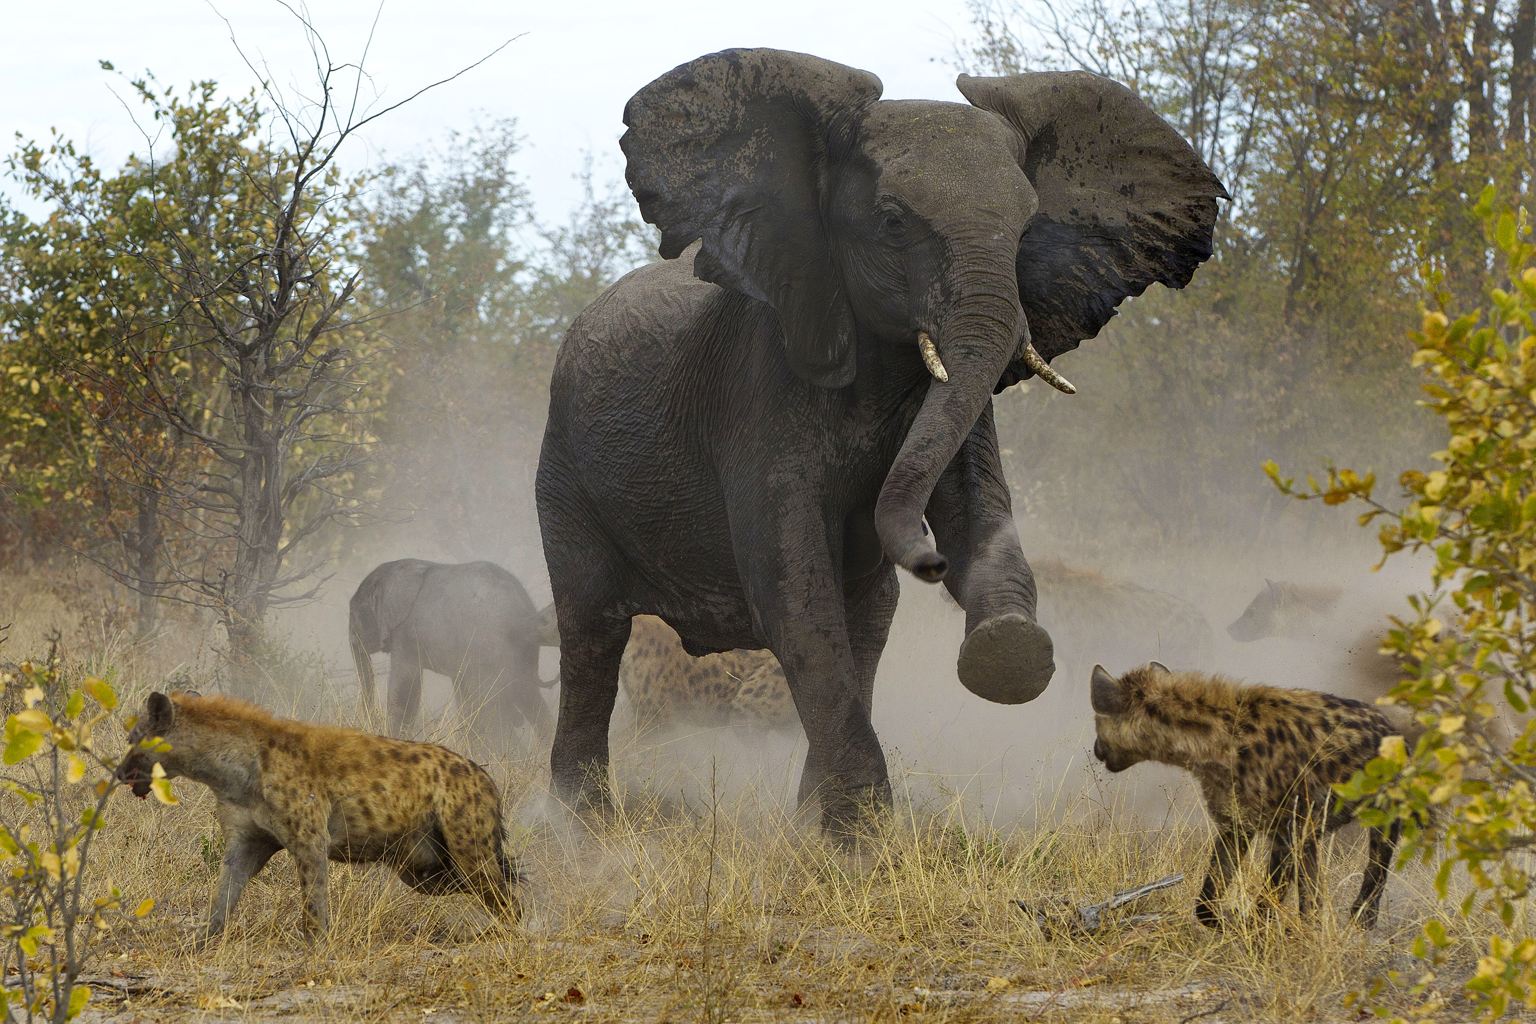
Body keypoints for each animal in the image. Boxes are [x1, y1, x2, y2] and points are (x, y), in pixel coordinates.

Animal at [348, 559, 555, 740]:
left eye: (354, 614)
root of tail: (522, 612)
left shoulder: (405, 632)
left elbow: (405, 686)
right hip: (520, 652)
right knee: (529, 698)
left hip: (489, 649)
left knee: (491, 709)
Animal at [534, 48, 1224, 832]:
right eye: (892, 222)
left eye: (1027, 230)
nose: (927, 559)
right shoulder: (756, 391)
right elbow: (794, 592)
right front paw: (862, 838)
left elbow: (975, 518)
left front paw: (1007, 652)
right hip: (563, 469)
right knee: (592, 632)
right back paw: (580, 828)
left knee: (868, 624)